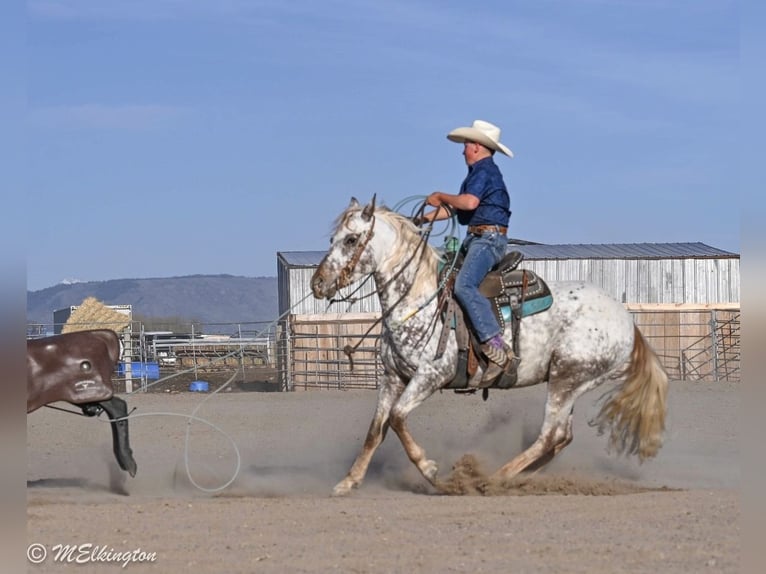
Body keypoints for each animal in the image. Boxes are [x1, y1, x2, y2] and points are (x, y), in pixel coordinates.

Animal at [311, 196, 668, 496]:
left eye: (351, 240)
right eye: (332, 239)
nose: (318, 283)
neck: (418, 298)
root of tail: (627, 323)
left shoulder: (431, 375)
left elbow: (397, 419)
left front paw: (431, 470)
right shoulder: (392, 377)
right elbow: (376, 429)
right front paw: (348, 481)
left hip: (567, 377)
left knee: (549, 435)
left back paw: (493, 479)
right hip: (572, 382)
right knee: (562, 436)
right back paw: (518, 478)